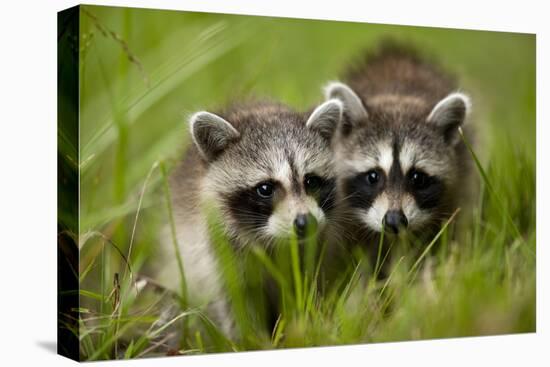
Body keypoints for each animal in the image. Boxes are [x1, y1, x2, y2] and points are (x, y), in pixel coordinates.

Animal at [156, 98, 344, 336]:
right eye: (265, 189)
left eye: (311, 181)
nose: (306, 222)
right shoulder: (218, 252)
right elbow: (236, 303)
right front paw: (251, 339)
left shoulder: (315, 249)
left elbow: (311, 285)